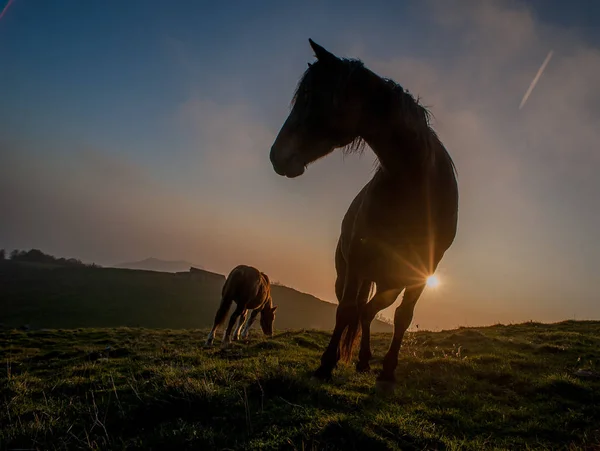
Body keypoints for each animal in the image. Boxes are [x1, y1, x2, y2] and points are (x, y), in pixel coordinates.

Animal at [270, 40, 458, 390]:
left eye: (309, 94)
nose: (276, 156)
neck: (413, 183)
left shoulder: (422, 271)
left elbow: (402, 317)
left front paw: (388, 370)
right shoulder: (358, 260)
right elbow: (345, 312)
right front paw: (326, 365)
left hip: (389, 283)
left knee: (370, 311)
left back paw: (365, 360)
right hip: (349, 274)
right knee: (358, 309)